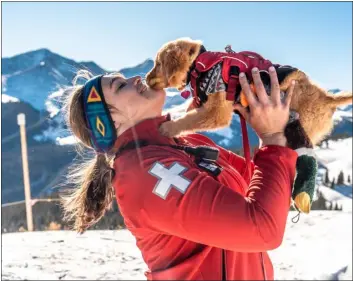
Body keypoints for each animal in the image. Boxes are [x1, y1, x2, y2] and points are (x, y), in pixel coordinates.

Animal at [144, 37, 350, 144]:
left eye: (158, 64)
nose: (145, 79)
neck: (199, 66)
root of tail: (327, 98)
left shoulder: (217, 112)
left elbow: (189, 119)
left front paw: (168, 128)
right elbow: (190, 114)